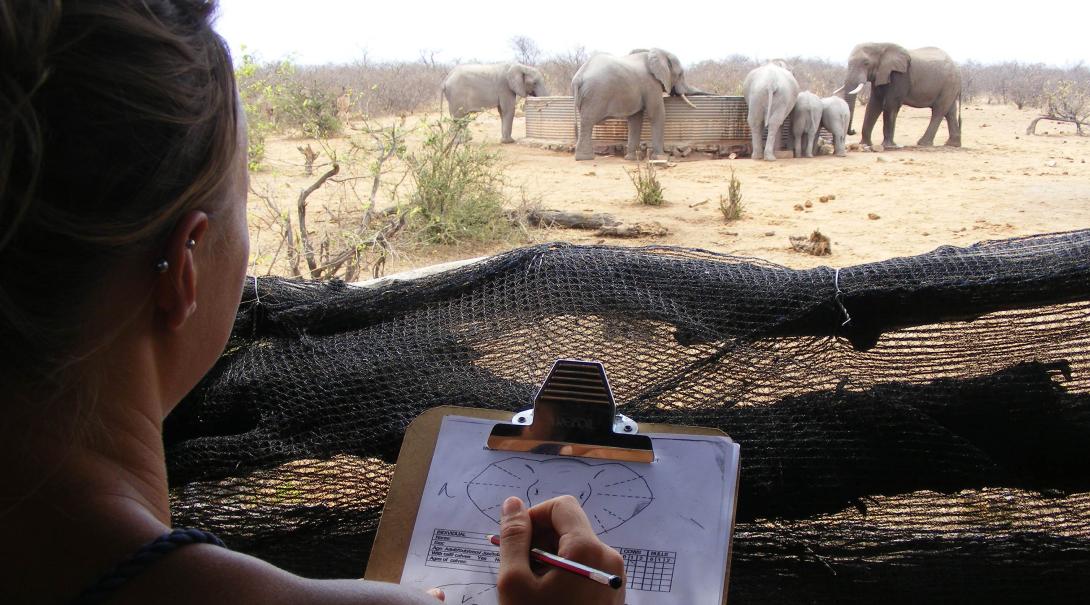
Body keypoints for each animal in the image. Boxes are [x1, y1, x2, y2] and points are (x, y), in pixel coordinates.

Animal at [571, 48, 707, 161]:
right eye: (680, 74)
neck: (656, 52)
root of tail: (578, 77)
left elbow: (635, 119)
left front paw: (631, 158)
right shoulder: (651, 84)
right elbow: (656, 113)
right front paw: (660, 157)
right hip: (595, 95)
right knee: (588, 122)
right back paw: (585, 158)